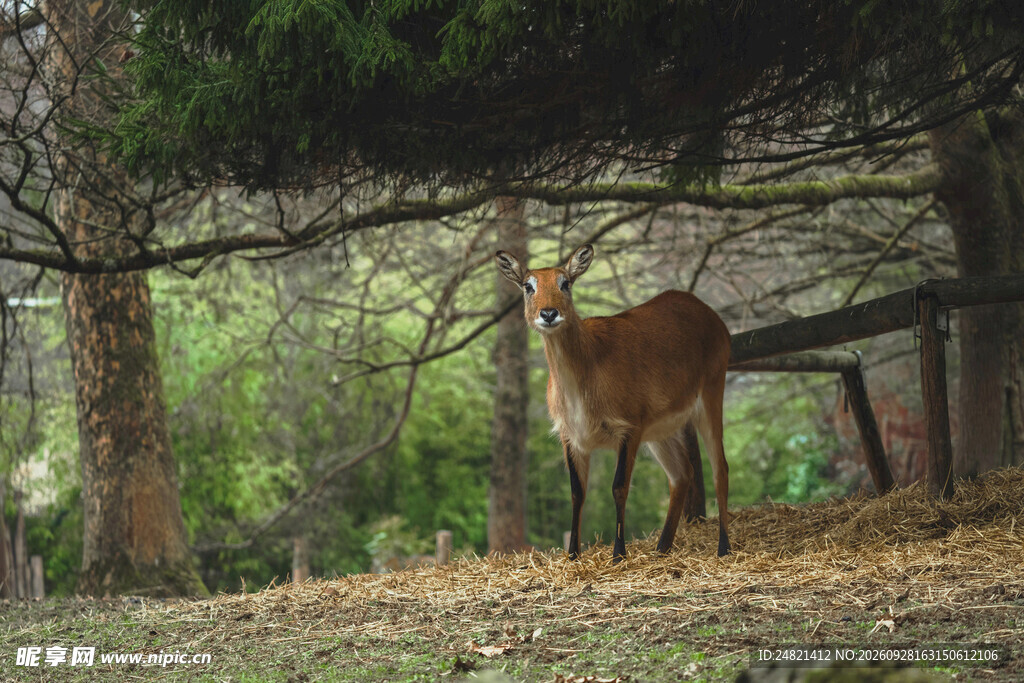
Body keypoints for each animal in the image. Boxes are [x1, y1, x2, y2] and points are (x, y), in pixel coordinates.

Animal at [495, 244, 732, 562]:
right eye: (528, 285)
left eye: (565, 283)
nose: (549, 313)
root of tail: (714, 317)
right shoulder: (571, 437)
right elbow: (577, 491)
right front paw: (572, 555)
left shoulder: (629, 427)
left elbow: (619, 486)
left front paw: (619, 553)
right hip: (661, 430)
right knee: (683, 473)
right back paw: (661, 549)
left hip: (711, 394)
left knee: (721, 467)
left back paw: (723, 548)